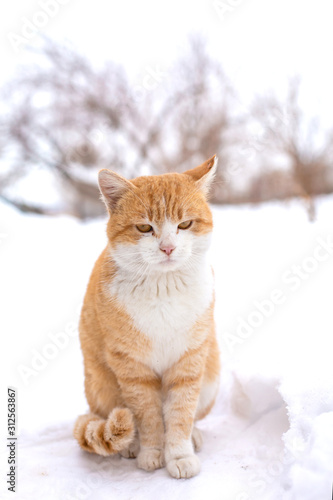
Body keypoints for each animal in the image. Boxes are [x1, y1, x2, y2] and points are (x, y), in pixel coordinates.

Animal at [75, 154, 220, 478]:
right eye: (144, 227)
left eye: (185, 224)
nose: (167, 248)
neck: (163, 289)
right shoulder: (132, 368)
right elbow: (149, 417)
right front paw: (152, 453)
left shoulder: (189, 360)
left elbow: (180, 413)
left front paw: (179, 454)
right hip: (102, 388)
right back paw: (130, 444)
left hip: (211, 378)